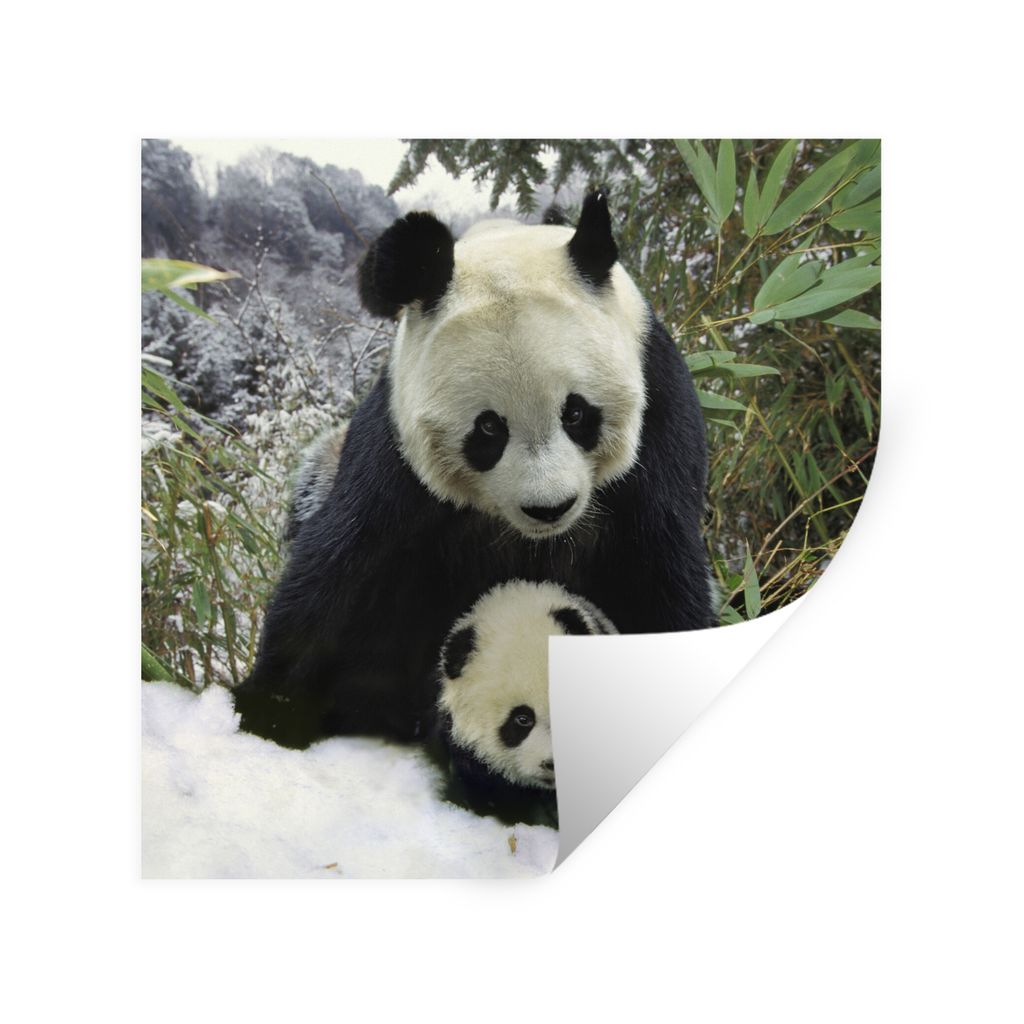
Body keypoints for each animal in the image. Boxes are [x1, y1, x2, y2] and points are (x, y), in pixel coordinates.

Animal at [233, 189, 712, 749]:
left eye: (576, 414)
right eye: (488, 429)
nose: (550, 508)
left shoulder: (659, 422)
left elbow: (658, 567)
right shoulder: (396, 453)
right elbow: (341, 568)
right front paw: (270, 708)